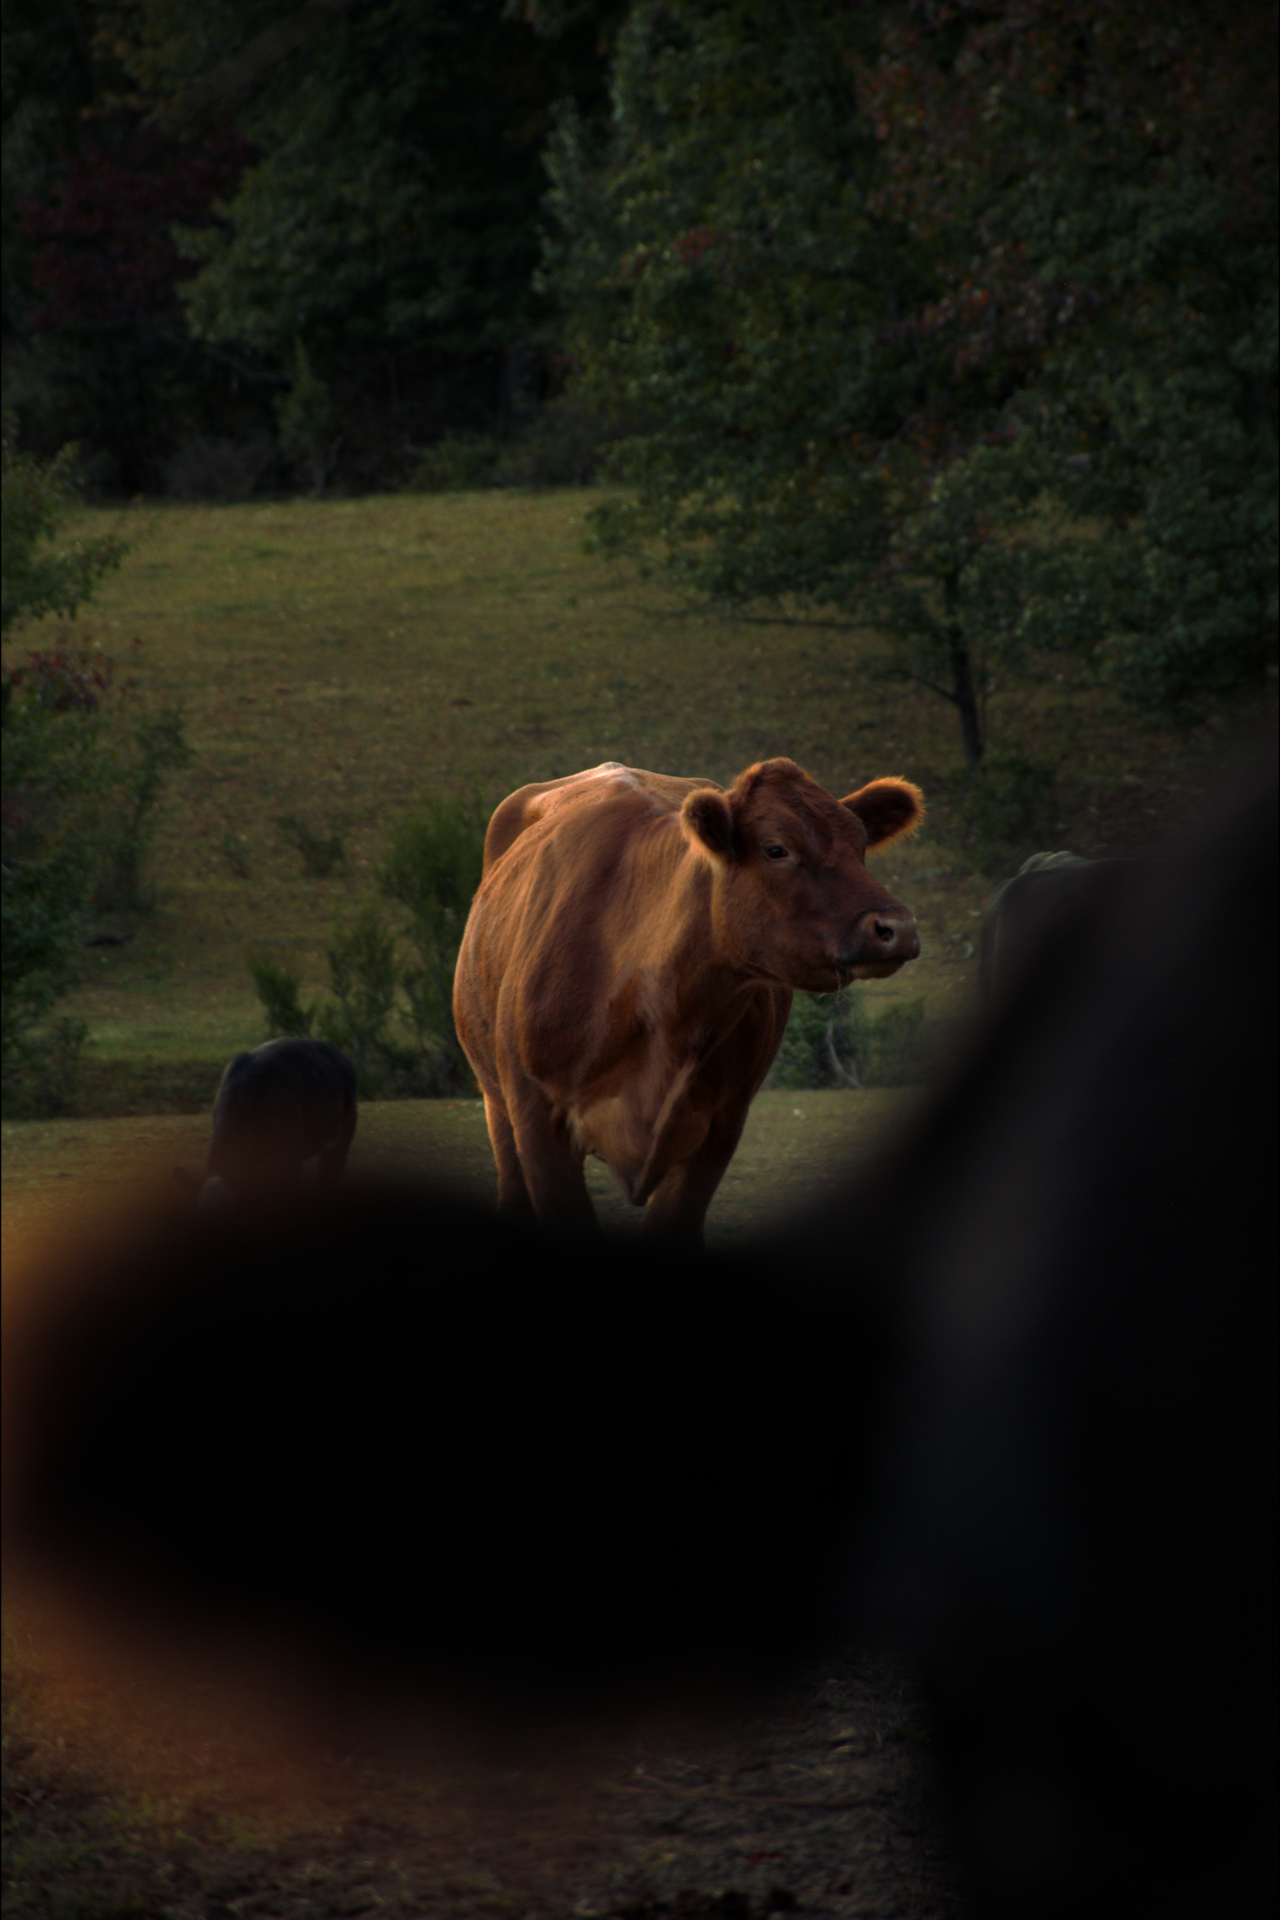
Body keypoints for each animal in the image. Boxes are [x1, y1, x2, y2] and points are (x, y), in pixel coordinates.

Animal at [452, 757, 924, 1241]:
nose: (898, 927)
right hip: (496, 1101)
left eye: (861, 844)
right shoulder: (537, 1122)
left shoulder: (721, 1124)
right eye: (776, 849)